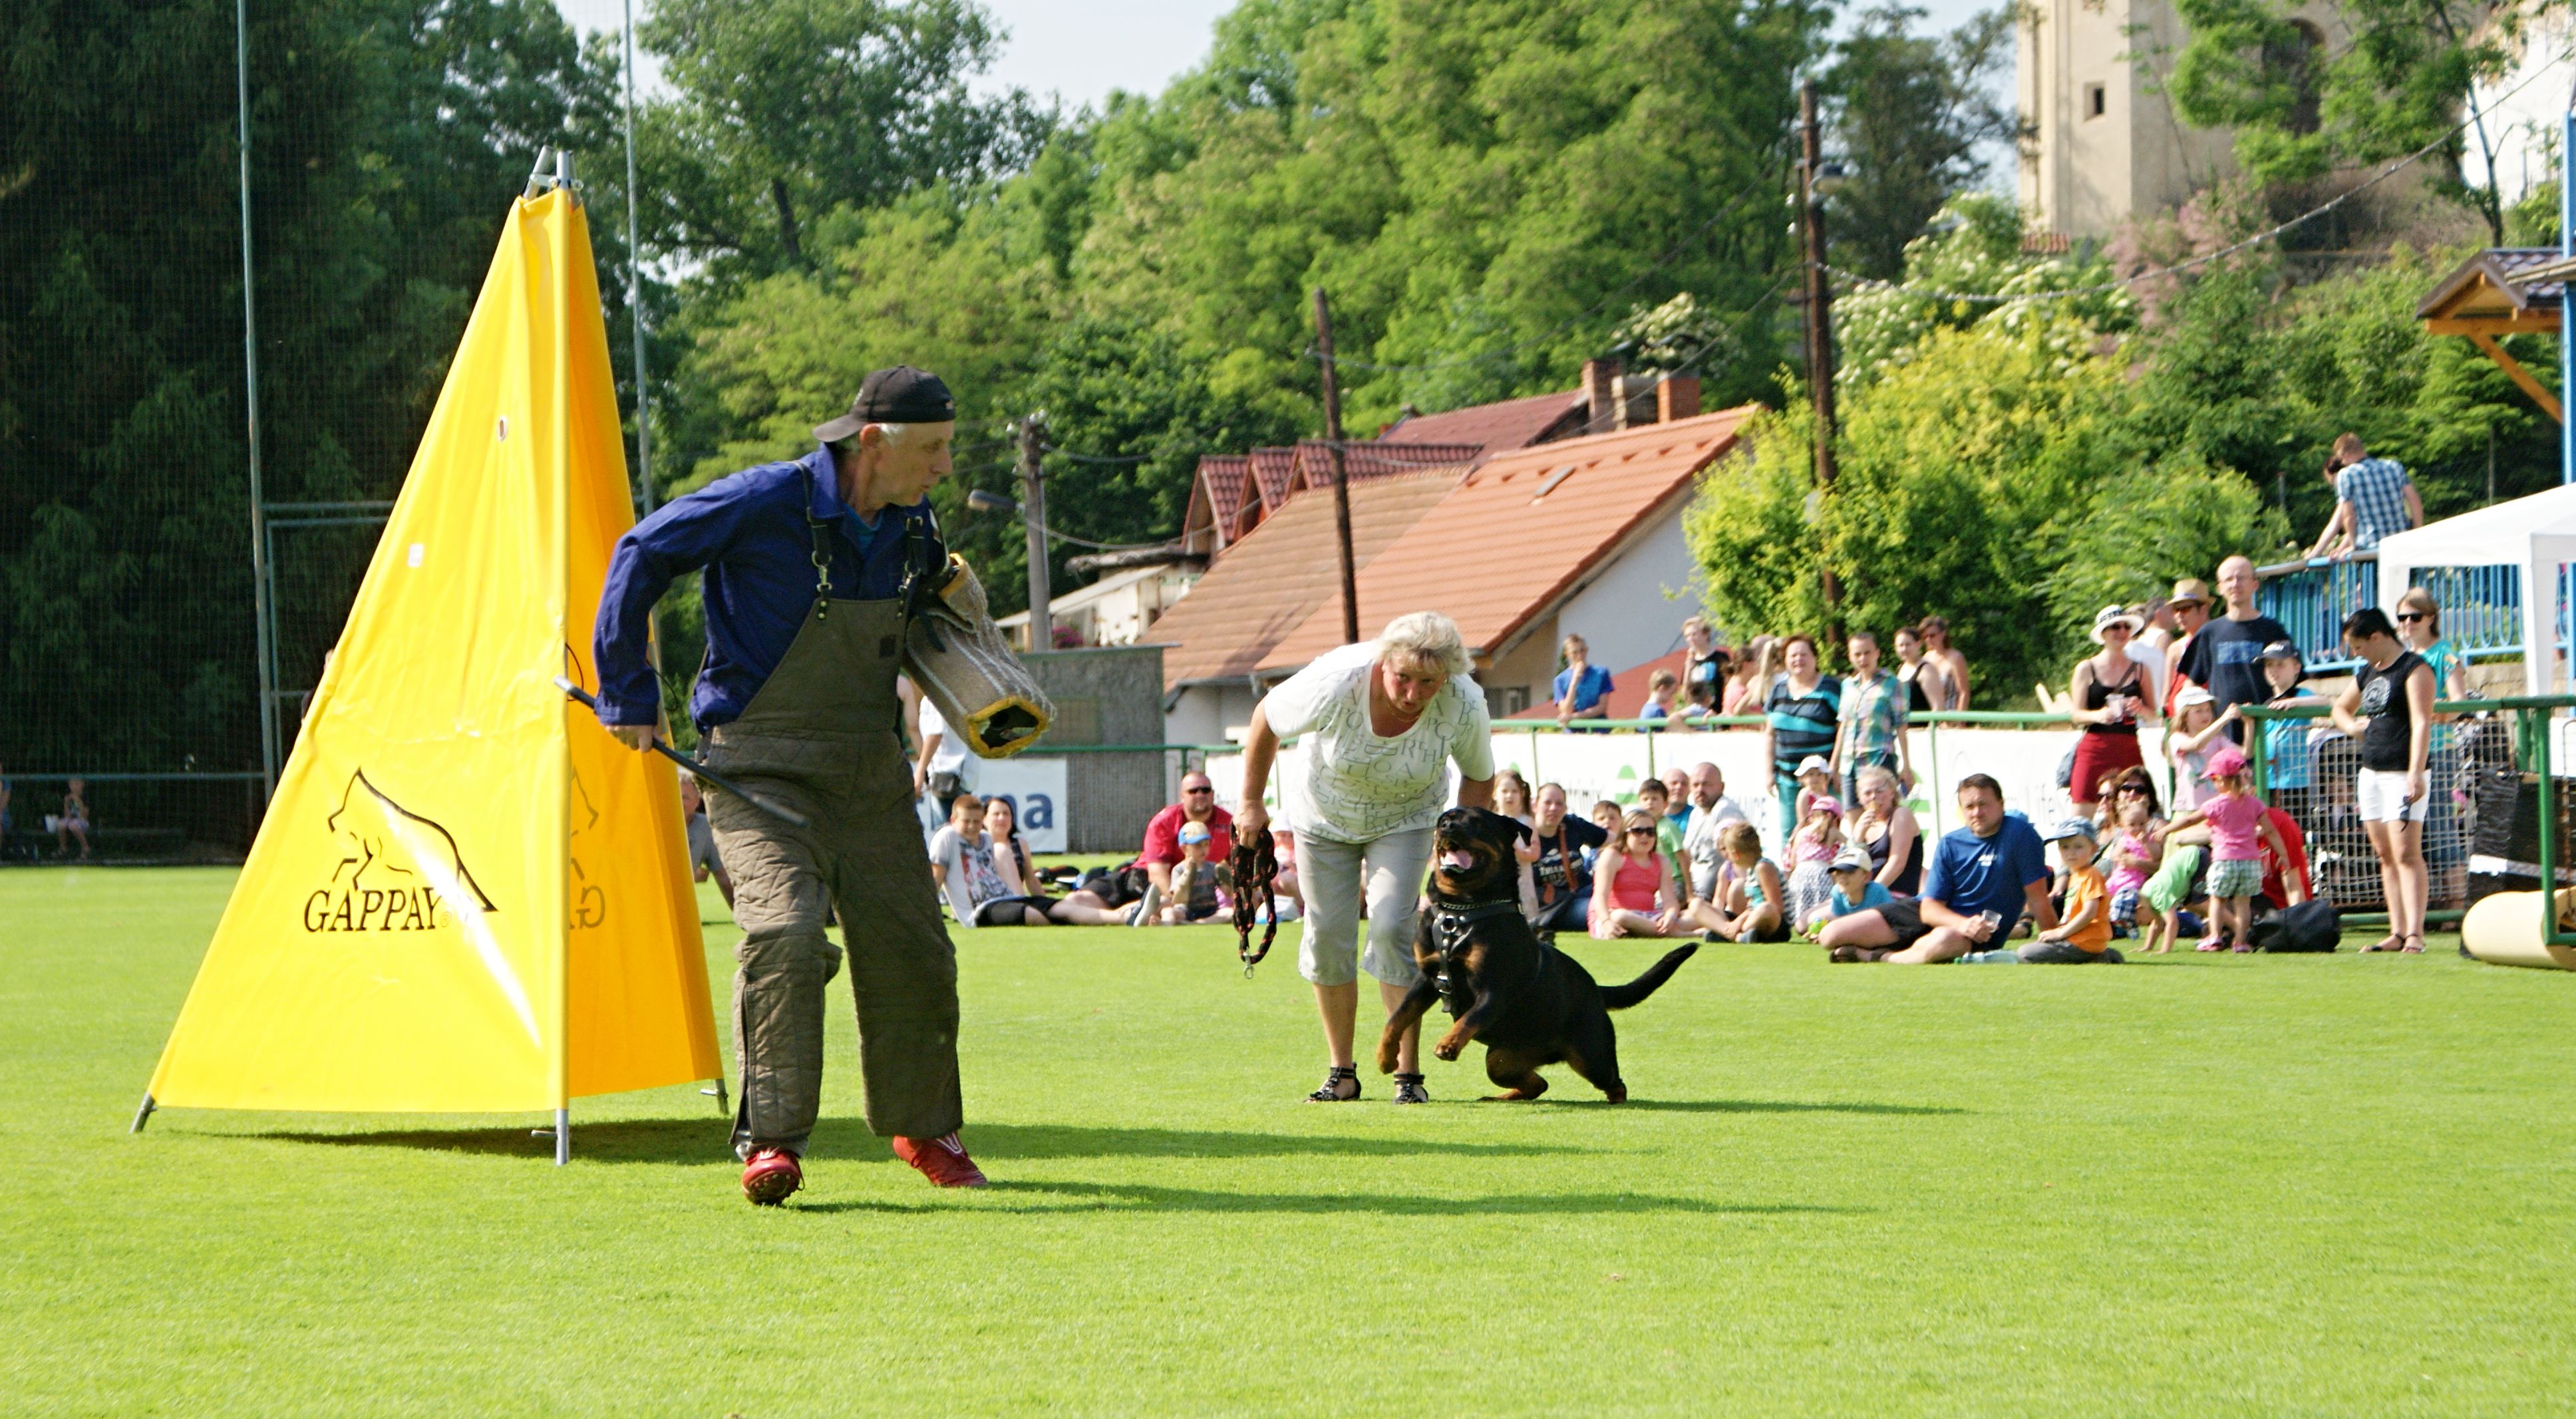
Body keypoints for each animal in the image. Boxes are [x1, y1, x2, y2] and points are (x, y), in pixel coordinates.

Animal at [1380, 803, 1700, 1107]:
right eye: (1444, 819)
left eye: (1478, 822)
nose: (1447, 826)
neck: (1459, 911)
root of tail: (1596, 990)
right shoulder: (1427, 978)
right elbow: (1398, 1017)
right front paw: (1385, 1057)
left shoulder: (1495, 987)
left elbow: (1471, 1017)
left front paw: (1448, 1044)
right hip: (1503, 1058)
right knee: (1536, 1083)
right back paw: (1500, 1097)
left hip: (1591, 1055)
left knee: (1614, 1082)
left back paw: (1615, 1101)